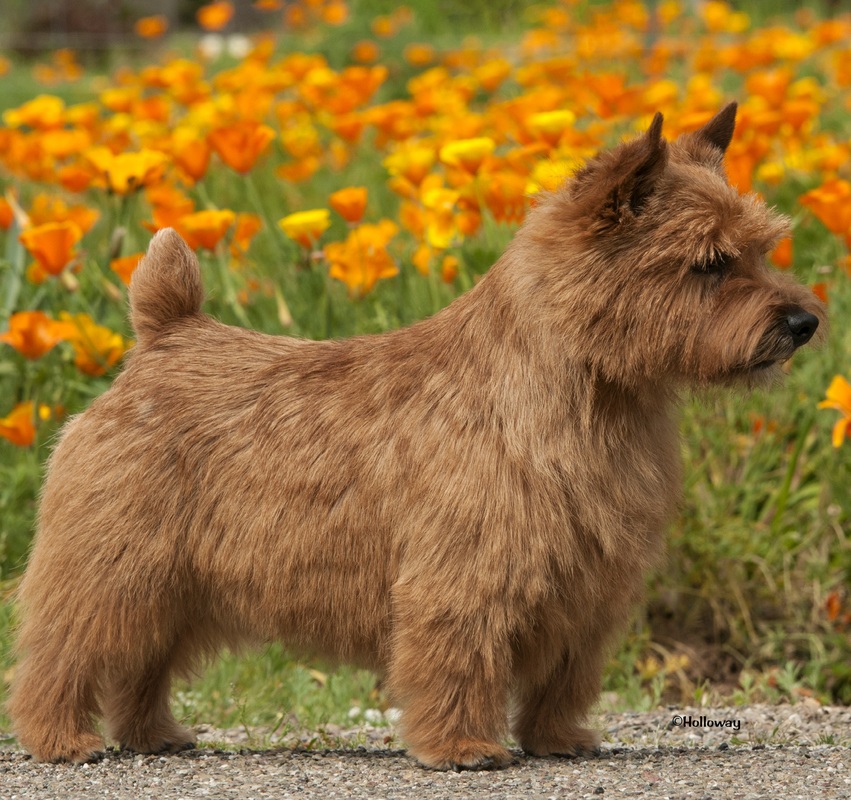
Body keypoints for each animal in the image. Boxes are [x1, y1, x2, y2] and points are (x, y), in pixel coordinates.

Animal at [8, 101, 824, 768]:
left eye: (760, 249)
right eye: (710, 263)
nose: (804, 322)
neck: (591, 395)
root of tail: (164, 335)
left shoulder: (588, 584)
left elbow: (565, 674)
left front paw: (558, 740)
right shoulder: (463, 574)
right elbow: (457, 659)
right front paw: (462, 748)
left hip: (174, 585)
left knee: (141, 663)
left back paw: (155, 735)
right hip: (115, 564)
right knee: (60, 651)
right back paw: (63, 740)